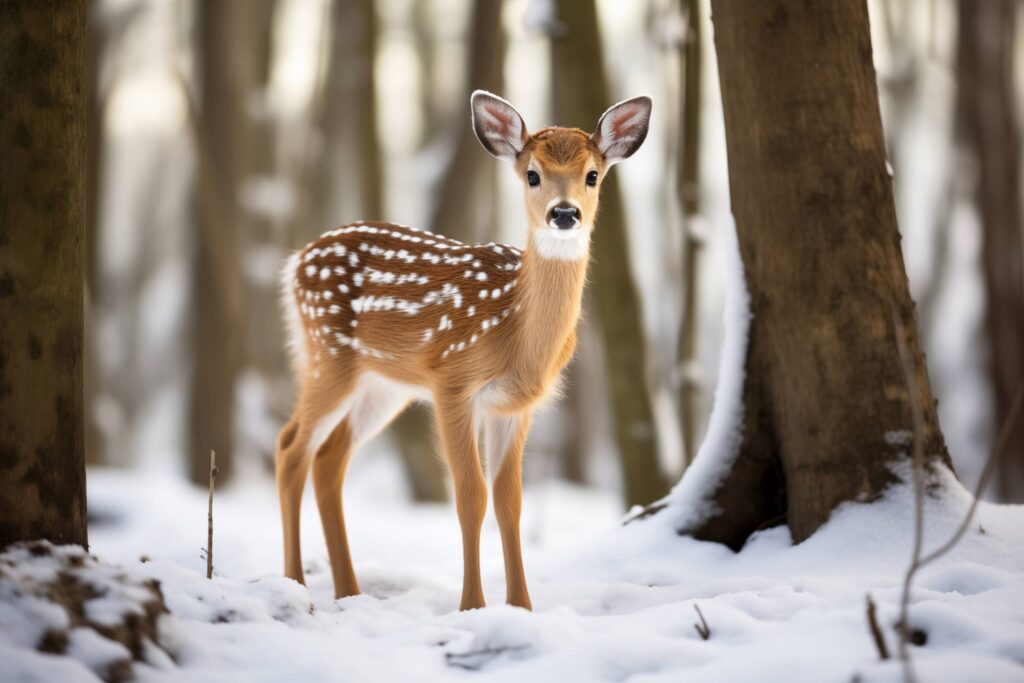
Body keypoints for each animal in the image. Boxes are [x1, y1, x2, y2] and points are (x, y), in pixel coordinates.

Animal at [276, 89, 651, 610]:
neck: (516, 330)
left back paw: (349, 592)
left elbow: (510, 501)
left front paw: (521, 608)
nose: (564, 213)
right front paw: (472, 606)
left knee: (328, 460)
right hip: (328, 356)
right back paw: (294, 583)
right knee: (290, 448)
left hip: (382, 385)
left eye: (592, 175)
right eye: (532, 174)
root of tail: (295, 261)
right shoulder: (452, 381)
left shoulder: (514, 406)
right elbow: (471, 496)